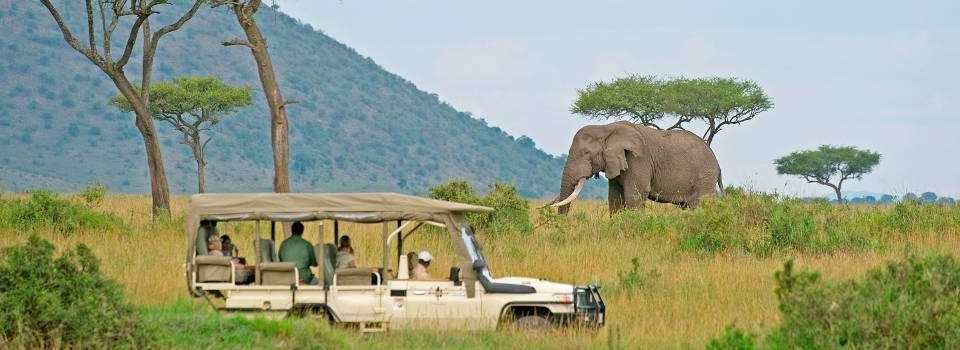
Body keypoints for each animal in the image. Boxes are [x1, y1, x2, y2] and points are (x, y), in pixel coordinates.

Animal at [548, 121, 720, 215]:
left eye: (586, 153)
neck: (605, 128)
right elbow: (615, 197)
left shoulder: (638, 159)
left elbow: (635, 194)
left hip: (705, 176)